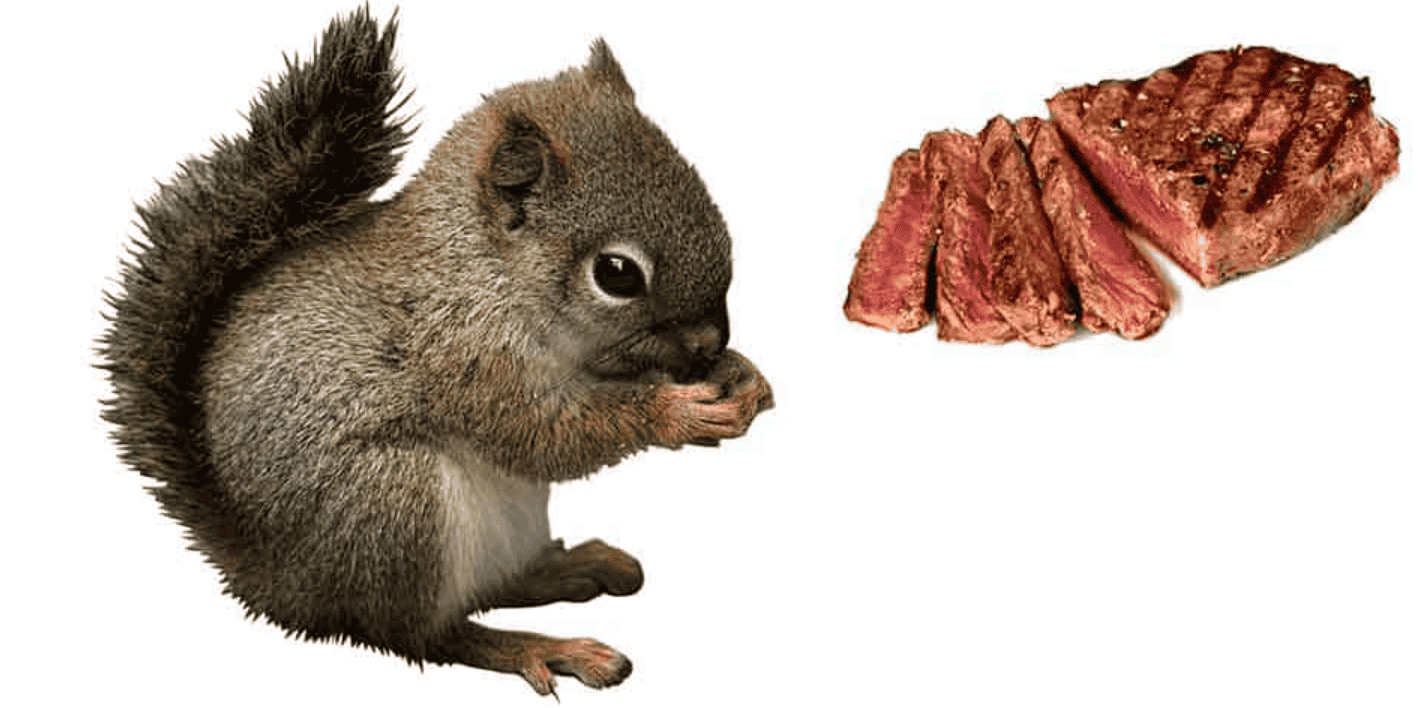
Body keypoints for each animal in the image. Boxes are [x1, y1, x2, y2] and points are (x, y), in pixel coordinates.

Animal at [98, 7, 772, 697]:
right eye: (616, 274)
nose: (710, 342)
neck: (484, 267)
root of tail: (277, 580)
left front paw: (744, 378)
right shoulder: (463, 354)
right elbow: (543, 434)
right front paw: (677, 412)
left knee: (492, 587)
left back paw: (568, 569)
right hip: (394, 505)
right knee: (425, 634)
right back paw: (537, 647)